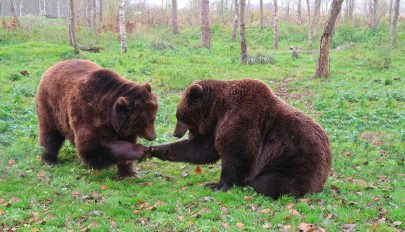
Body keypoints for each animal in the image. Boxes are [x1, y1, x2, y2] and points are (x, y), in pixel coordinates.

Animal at [149, 79, 332, 198]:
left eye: (179, 116)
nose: (175, 133)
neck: (217, 110)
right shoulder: (216, 128)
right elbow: (201, 150)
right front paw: (154, 149)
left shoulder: (242, 121)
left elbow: (235, 155)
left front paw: (216, 184)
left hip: (296, 162)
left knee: (268, 182)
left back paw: (253, 183)